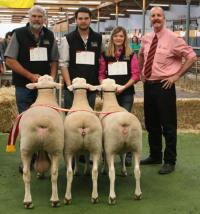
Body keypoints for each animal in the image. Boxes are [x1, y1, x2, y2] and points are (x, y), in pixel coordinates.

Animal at [18, 75, 64, 207]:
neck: (44, 96)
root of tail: (42, 121)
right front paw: (41, 173)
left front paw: (40, 173)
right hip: (55, 147)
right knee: (53, 173)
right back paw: (53, 200)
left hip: (27, 148)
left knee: (27, 173)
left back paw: (29, 201)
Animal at [63, 77, 102, 205]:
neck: (81, 101)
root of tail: (83, 123)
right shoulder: (86, 147)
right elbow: (85, 155)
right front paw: (85, 171)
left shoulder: (74, 148)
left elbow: (77, 157)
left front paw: (77, 171)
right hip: (96, 147)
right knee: (95, 171)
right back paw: (94, 196)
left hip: (69, 148)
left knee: (69, 172)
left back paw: (67, 197)